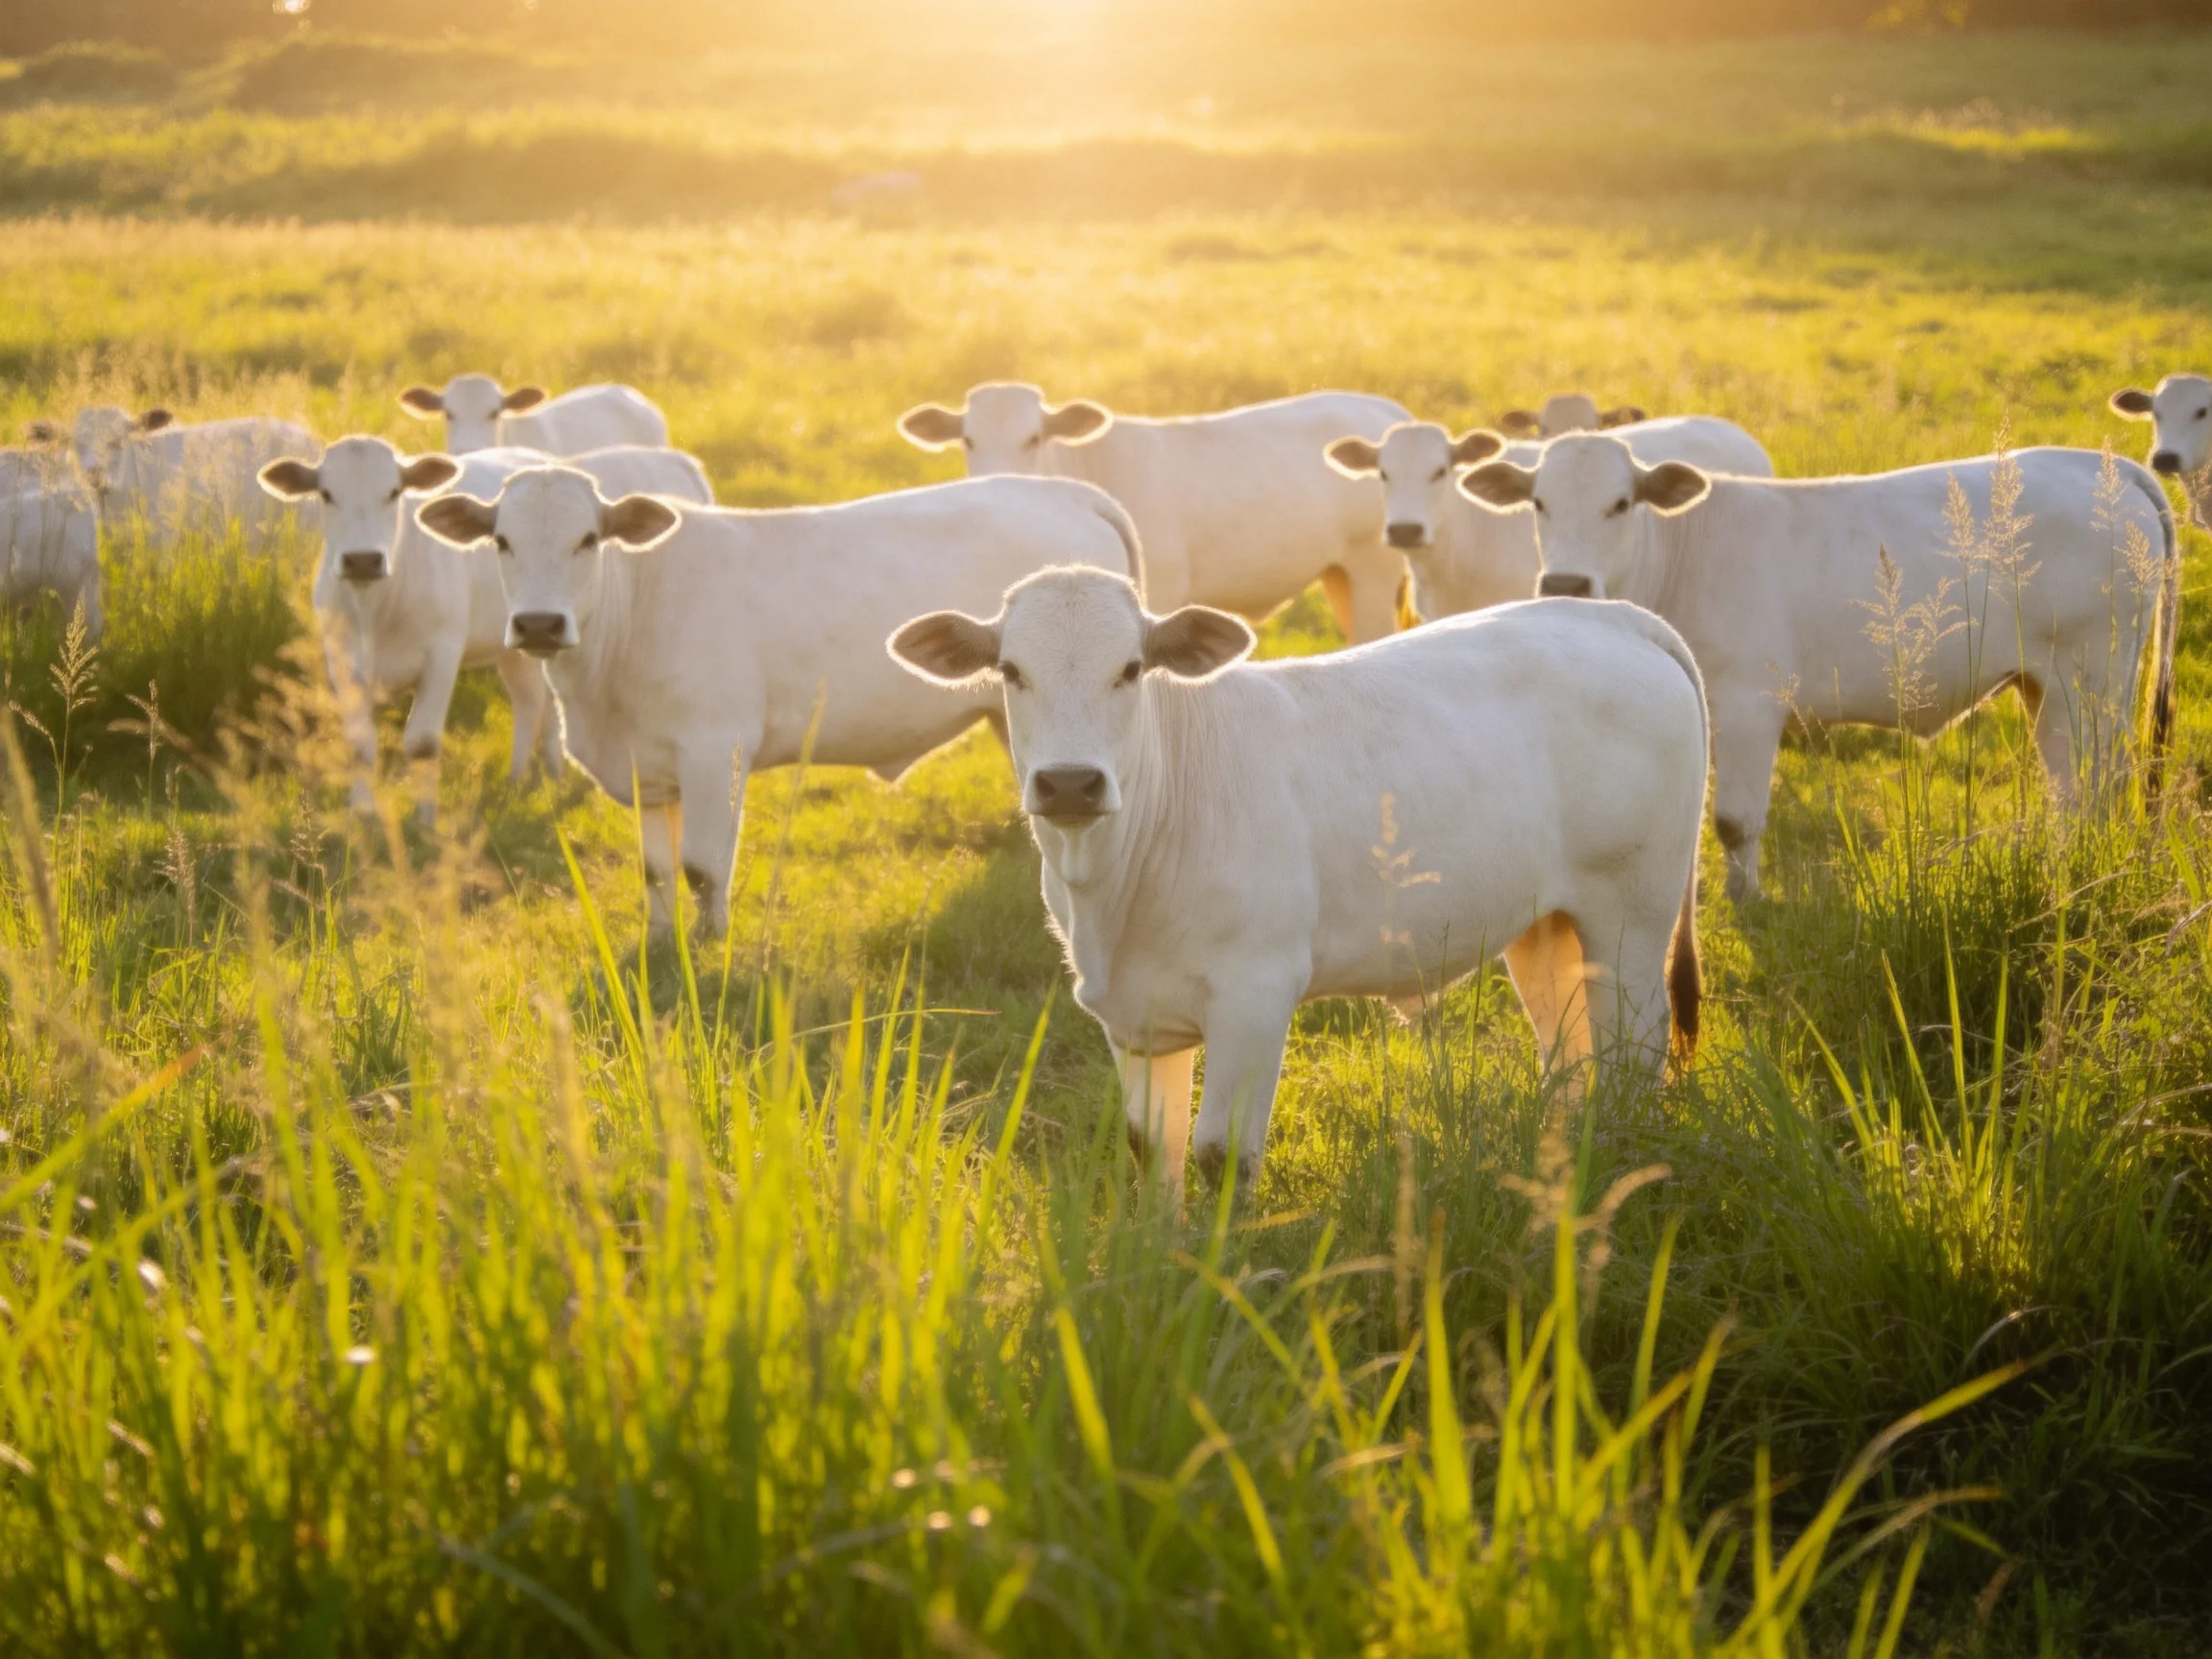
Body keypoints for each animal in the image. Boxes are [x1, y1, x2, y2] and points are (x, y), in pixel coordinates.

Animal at [259, 439, 714, 826]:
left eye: (393, 492)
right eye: (326, 494)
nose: (362, 560)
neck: (377, 606)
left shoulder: (442, 651)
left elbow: (422, 742)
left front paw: (425, 821)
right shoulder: (341, 655)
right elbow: (359, 744)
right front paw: (362, 813)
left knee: (541, 706)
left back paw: (543, 772)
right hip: (515, 645)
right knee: (530, 703)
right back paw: (521, 776)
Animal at [414, 469, 1142, 933]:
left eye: (587, 540)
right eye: (501, 541)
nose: (539, 624)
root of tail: (1059, 489)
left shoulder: (714, 748)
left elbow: (703, 867)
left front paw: (709, 946)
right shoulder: (648, 770)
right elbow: (656, 871)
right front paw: (660, 943)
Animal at [887, 567, 1709, 1194]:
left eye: (1130, 668)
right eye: (1010, 670)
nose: (1068, 783)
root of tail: (1614, 618)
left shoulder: (1256, 995)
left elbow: (1221, 1156)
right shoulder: (1132, 1017)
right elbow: (1155, 1152)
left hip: (1633, 915)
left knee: (1633, 1055)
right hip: (1546, 926)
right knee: (1571, 1058)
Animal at [1459, 436, 2178, 900]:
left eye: (1620, 503)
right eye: (1539, 503)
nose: (1566, 583)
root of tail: (2096, 464)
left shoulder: (1747, 706)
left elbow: (1734, 820)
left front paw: (1746, 902)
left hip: (2088, 678)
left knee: (2091, 783)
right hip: (2051, 685)